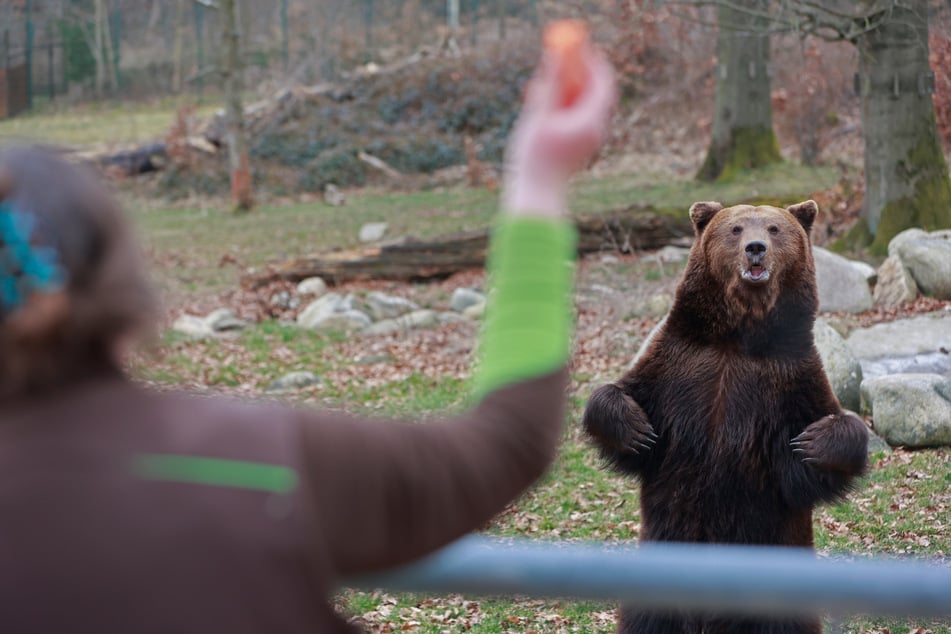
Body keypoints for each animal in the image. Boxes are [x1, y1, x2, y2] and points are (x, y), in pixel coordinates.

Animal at [580, 199, 872, 632]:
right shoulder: (677, 364)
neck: (737, 338)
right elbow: (621, 397)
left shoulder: (791, 379)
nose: (756, 248)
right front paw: (635, 429)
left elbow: (826, 439)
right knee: (649, 616)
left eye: (773, 228)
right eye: (735, 229)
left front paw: (813, 442)